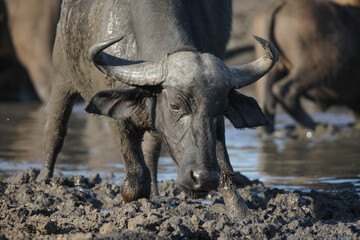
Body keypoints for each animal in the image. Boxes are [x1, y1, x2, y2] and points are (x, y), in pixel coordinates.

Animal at [37, 0, 278, 218]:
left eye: (220, 109)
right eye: (175, 106)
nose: (203, 178)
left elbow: (225, 167)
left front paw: (241, 212)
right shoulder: (118, 120)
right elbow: (136, 177)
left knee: (152, 152)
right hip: (62, 76)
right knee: (55, 130)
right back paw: (43, 181)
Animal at [252, 0, 360, 133]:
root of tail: (281, 5)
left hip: (271, 69)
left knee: (267, 103)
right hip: (319, 66)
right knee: (285, 91)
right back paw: (314, 127)